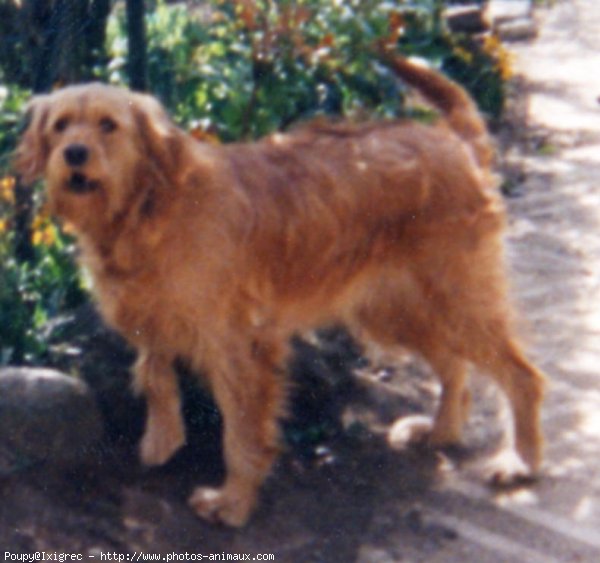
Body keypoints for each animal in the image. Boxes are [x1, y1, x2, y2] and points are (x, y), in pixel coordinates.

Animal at [16, 50, 548, 528]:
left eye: (108, 125)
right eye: (61, 126)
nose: (74, 154)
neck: (150, 207)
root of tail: (451, 139)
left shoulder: (239, 346)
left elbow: (240, 433)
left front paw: (233, 502)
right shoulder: (153, 319)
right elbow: (155, 375)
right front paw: (163, 439)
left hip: (458, 300)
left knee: (522, 376)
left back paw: (520, 461)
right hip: (394, 311)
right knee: (454, 365)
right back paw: (441, 430)